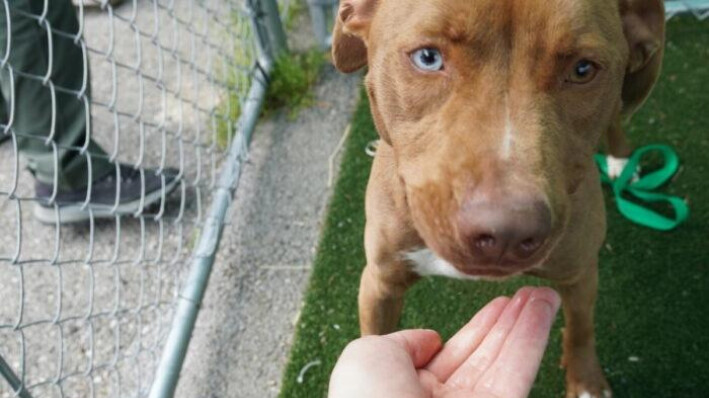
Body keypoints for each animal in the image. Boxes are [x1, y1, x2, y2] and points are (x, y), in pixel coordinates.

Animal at [332, 0, 664, 396]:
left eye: (583, 70)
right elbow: (376, 340)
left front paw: (585, 381)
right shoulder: (380, 282)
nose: (507, 233)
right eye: (428, 58)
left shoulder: (580, 271)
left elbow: (581, 329)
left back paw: (620, 159)